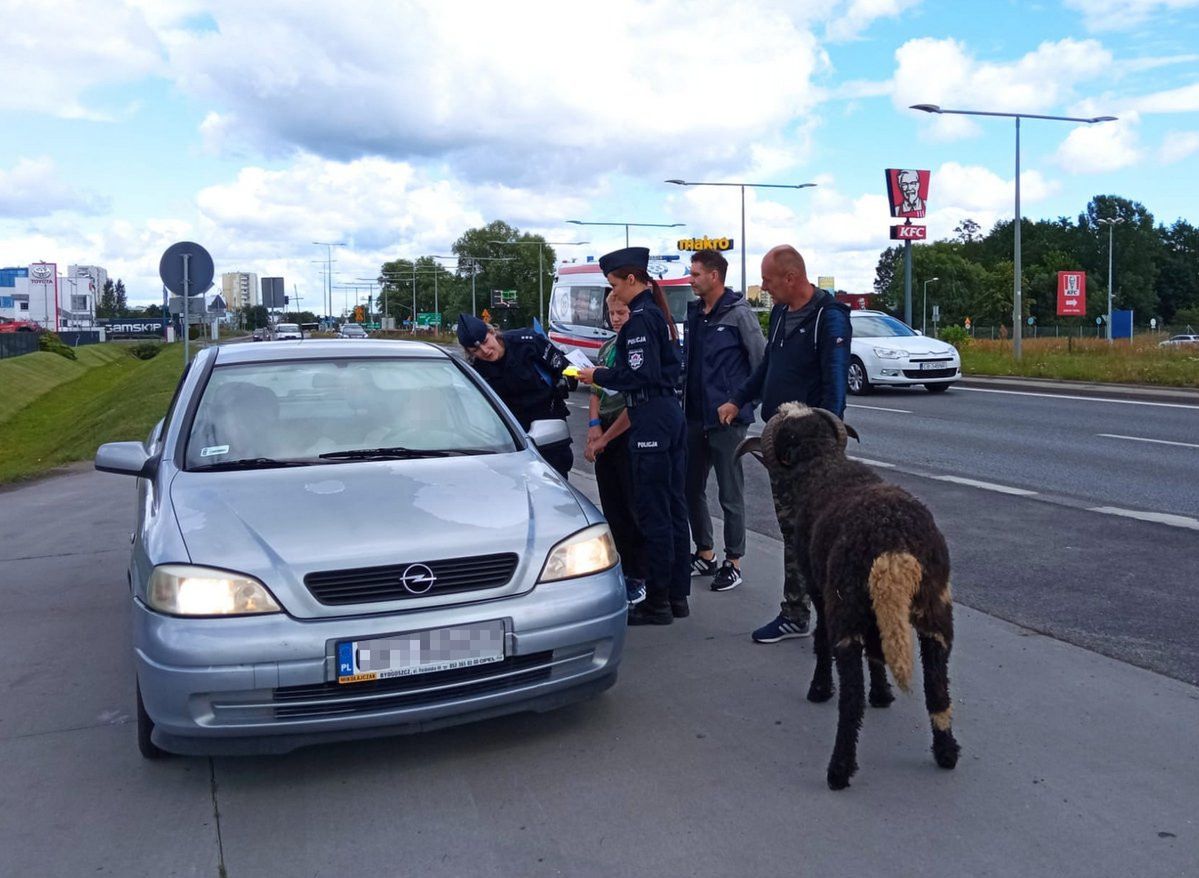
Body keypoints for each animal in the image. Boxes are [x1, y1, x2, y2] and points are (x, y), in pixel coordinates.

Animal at [733, 403, 959, 786]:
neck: (824, 464)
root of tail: (892, 549)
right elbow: (878, 651)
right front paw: (882, 695)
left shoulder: (819, 589)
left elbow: (822, 638)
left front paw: (821, 689)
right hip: (934, 611)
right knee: (937, 688)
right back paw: (946, 753)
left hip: (847, 608)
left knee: (850, 696)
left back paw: (838, 769)